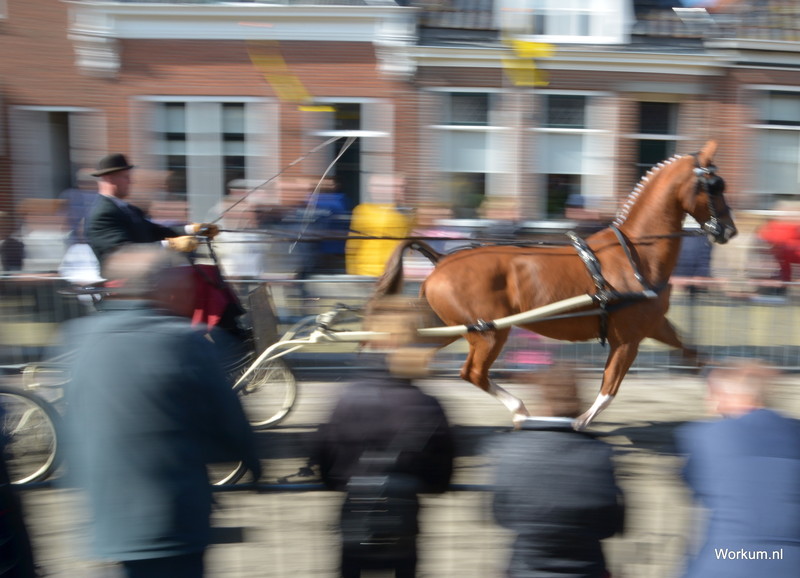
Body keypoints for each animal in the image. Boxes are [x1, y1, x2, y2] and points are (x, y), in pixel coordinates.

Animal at [370, 140, 737, 430]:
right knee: (472, 373)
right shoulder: (627, 338)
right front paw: (578, 421)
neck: (636, 255)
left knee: (412, 354)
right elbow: (609, 387)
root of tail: (442, 261)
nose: (729, 230)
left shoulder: (654, 325)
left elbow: (696, 356)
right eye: (715, 185)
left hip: (455, 328)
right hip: (489, 332)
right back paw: (520, 412)